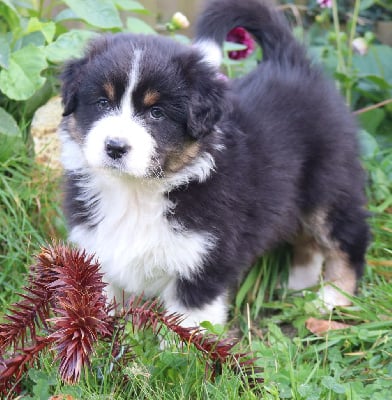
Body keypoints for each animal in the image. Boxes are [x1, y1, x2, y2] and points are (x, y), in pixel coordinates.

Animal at [59, 0, 370, 326]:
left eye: (156, 113)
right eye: (102, 103)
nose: (115, 147)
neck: (137, 192)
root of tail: (290, 62)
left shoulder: (204, 260)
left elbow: (190, 326)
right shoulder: (99, 249)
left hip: (328, 187)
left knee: (348, 237)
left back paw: (331, 297)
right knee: (307, 242)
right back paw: (298, 286)